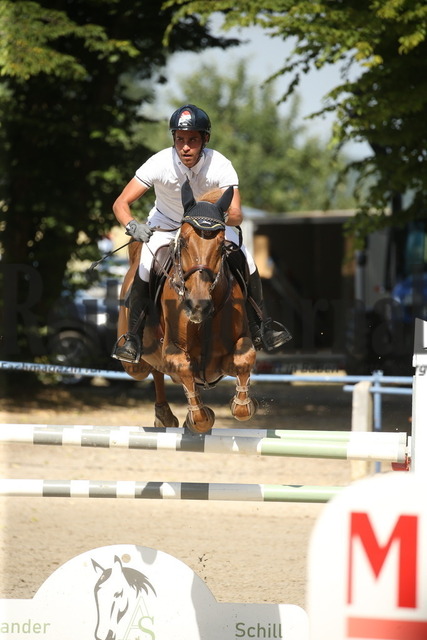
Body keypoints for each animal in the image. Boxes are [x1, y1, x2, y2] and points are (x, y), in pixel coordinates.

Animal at [116, 180, 258, 436]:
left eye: (222, 247)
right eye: (182, 241)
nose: (197, 306)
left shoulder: (233, 350)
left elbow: (244, 359)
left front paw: (243, 404)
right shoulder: (173, 350)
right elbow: (182, 369)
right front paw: (200, 418)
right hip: (134, 364)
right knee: (152, 370)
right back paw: (164, 414)